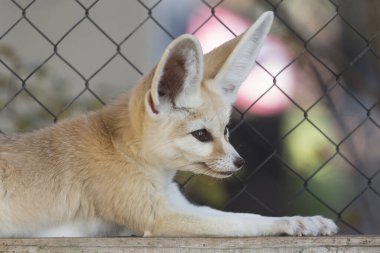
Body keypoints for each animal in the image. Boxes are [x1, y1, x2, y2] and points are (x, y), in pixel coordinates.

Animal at [0, 11, 338, 237]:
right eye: (201, 135)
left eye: (225, 130)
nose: (239, 162)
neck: (122, 150)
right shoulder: (160, 217)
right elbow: (244, 221)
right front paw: (293, 222)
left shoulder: (176, 205)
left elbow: (245, 215)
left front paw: (306, 220)